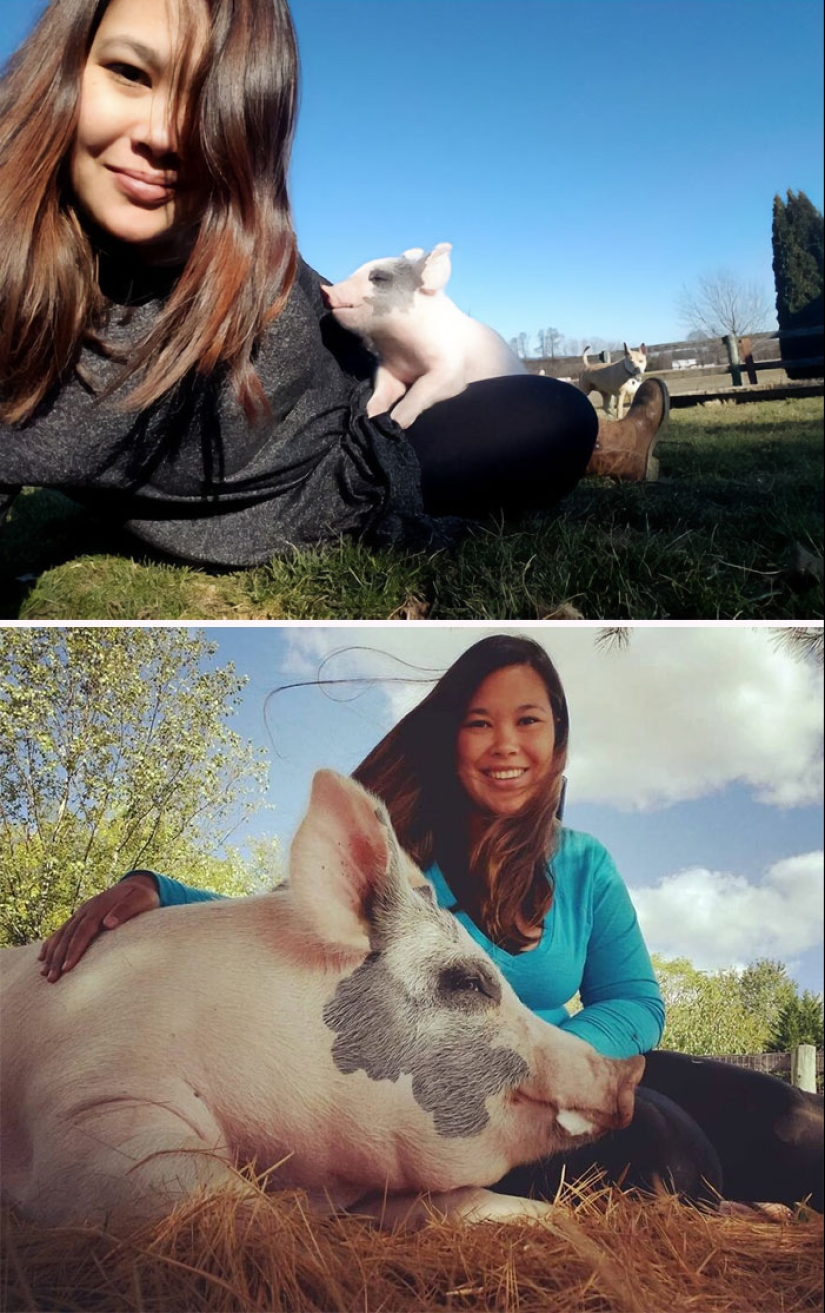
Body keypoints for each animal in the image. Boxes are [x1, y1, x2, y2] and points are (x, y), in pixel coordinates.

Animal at [321, 243, 527, 428]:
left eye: (379, 277)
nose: (325, 290)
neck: (403, 353)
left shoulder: (450, 367)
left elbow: (422, 386)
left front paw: (397, 420)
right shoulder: (388, 367)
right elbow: (384, 386)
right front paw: (372, 414)